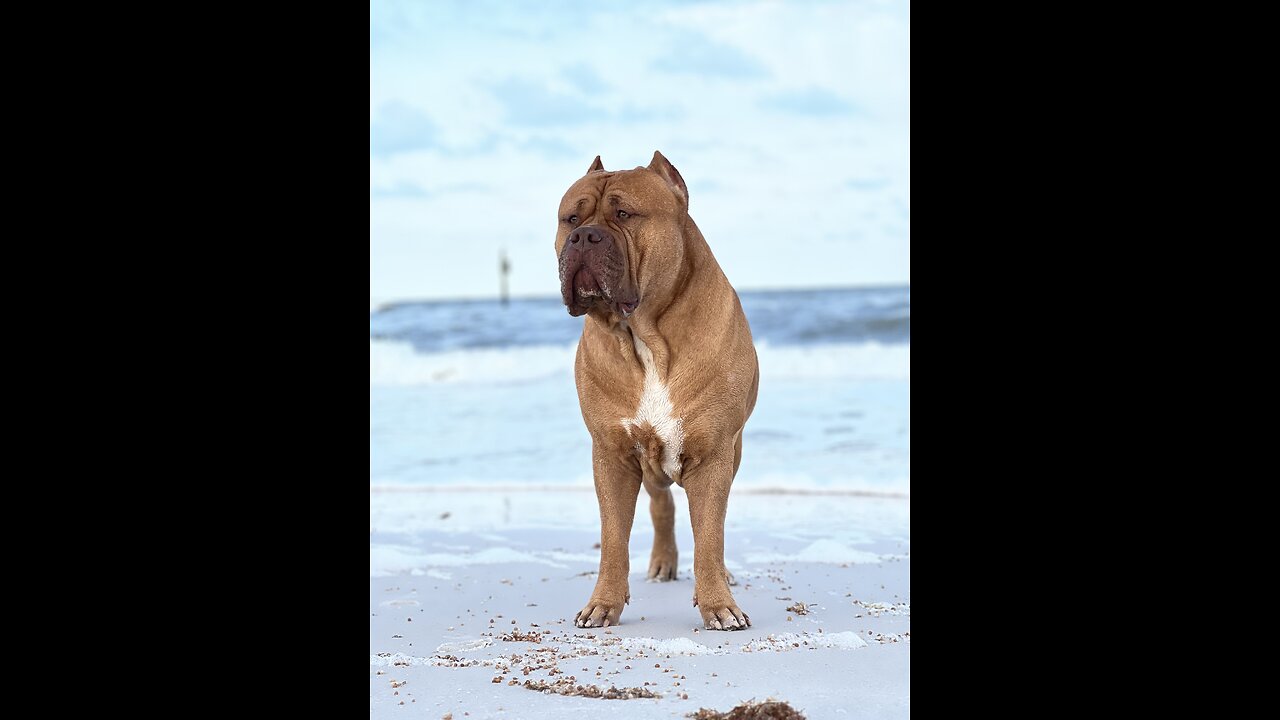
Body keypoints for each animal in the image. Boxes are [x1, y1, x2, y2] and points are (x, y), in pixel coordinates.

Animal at [552, 151, 752, 627]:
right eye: (571, 219)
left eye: (625, 214)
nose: (583, 237)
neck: (643, 336)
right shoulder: (612, 456)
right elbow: (612, 538)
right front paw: (603, 603)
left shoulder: (714, 455)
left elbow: (710, 536)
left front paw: (719, 604)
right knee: (661, 503)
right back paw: (663, 562)